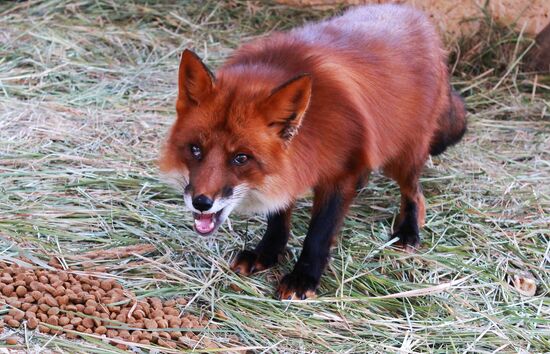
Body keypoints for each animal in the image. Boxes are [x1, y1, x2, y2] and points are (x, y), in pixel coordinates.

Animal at [162, 4, 468, 300]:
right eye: (195, 149)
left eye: (241, 158)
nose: (201, 203)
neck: (314, 126)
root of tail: (416, 14)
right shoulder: (288, 169)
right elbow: (277, 219)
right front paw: (266, 254)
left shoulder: (339, 176)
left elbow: (319, 234)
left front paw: (303, 278)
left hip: (402, 156)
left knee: (414, 192)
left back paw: (408, 231)